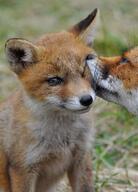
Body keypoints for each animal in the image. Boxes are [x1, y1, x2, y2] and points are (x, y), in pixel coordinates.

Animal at [0, 8, 99, 192]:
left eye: (84, 71)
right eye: (54, 80)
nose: (86, 99)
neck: (62, 137)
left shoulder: (81, 156)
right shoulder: (23, 168)